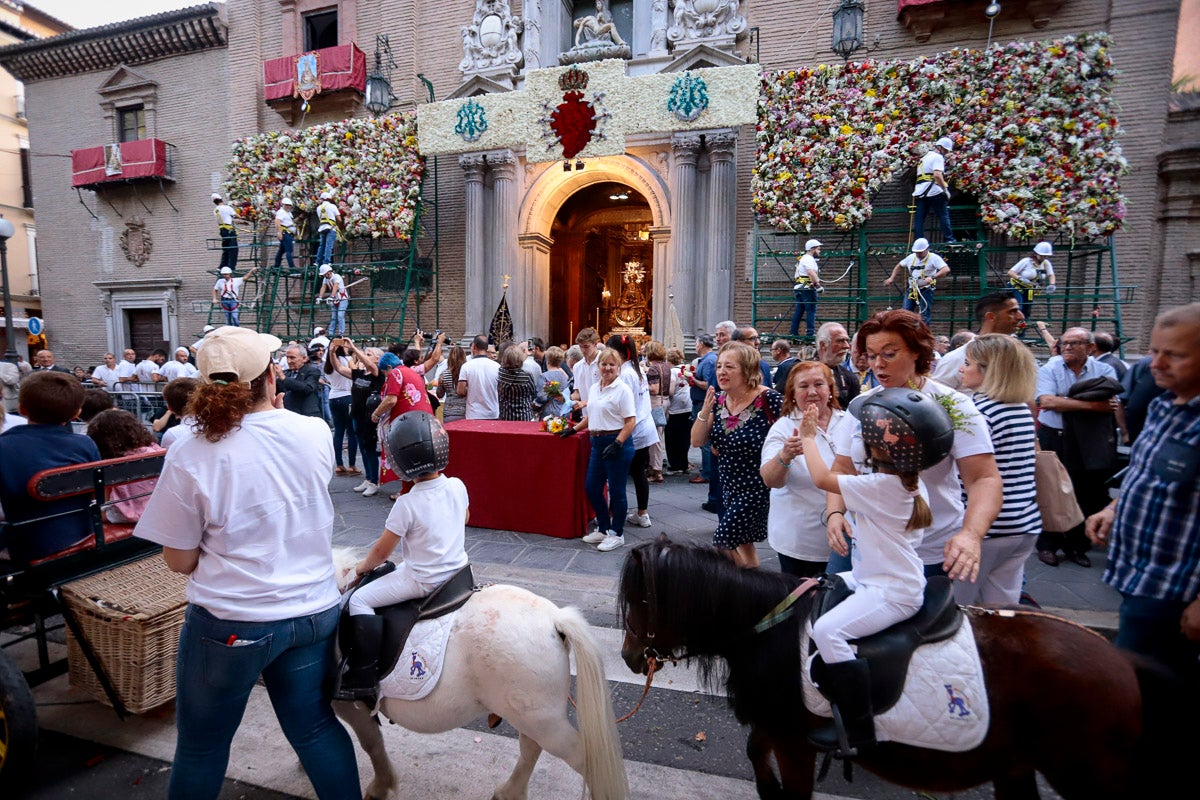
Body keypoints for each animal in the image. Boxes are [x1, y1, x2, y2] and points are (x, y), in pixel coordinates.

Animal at [331, 551, 628, 800]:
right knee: (530, 749)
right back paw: (509, 793)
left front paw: (381, 787)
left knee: (584, 760)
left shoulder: (350, 708)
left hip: (543, 721)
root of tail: (555, 619)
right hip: (531, 714)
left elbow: (371, 743)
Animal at [624, 537, 1185, 800]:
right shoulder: (779, 726)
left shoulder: (796, 741)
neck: (767, 625)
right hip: (1017, 764)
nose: (629, 656)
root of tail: (1121, 660)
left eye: (640, 600)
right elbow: (754, 755)